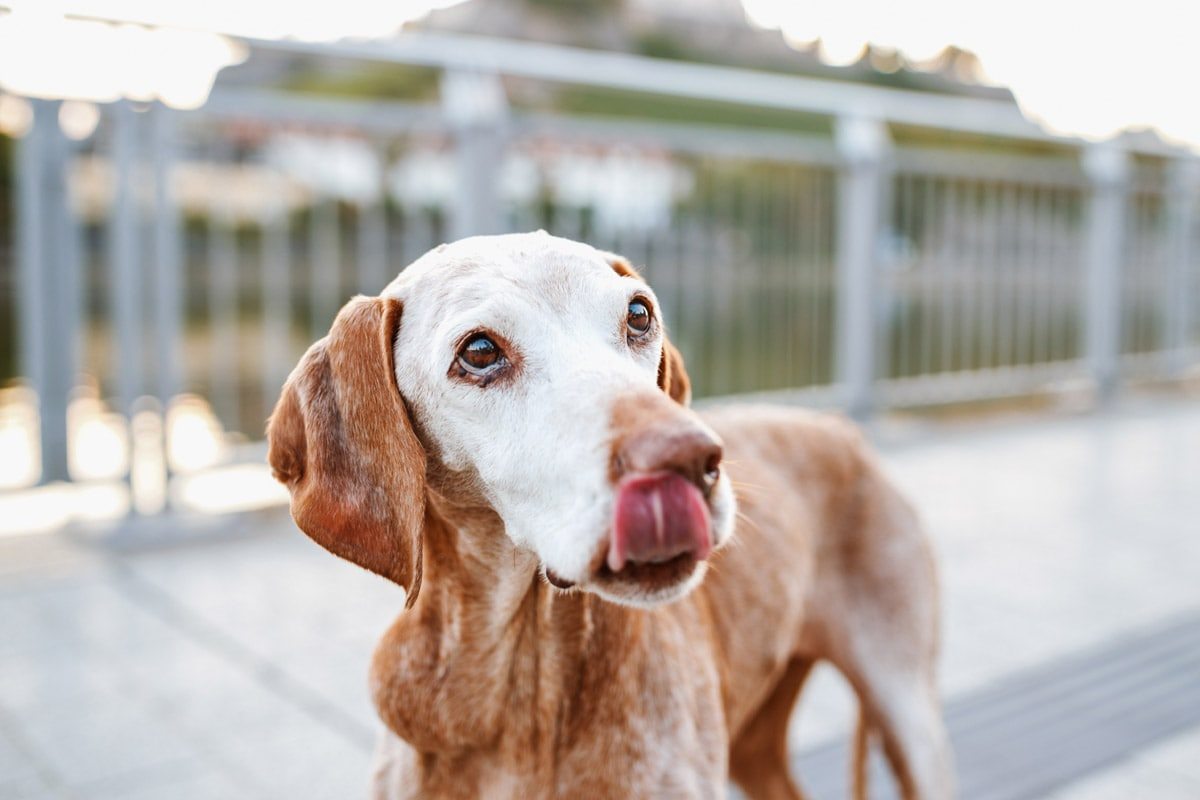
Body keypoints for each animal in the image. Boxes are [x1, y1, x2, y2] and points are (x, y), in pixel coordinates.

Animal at [267, 232, 950, 800]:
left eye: (639, 315)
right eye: (480, 351)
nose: (688, 458)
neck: (520, 699)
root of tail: (842, 428)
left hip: (909, 715)